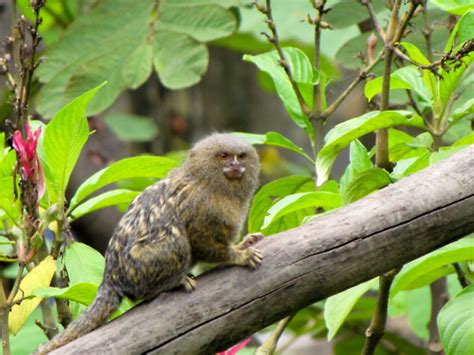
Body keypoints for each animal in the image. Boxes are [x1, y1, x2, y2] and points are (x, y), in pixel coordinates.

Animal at [38, 134, 262, 355]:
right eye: (224, 156)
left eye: (241, 156)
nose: (235, 165)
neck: (210, 184)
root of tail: (111, 278)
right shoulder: (202, 209)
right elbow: (201, 243)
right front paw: (239, 256)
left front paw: (242, 245)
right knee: (176, 243)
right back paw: (171, 283)